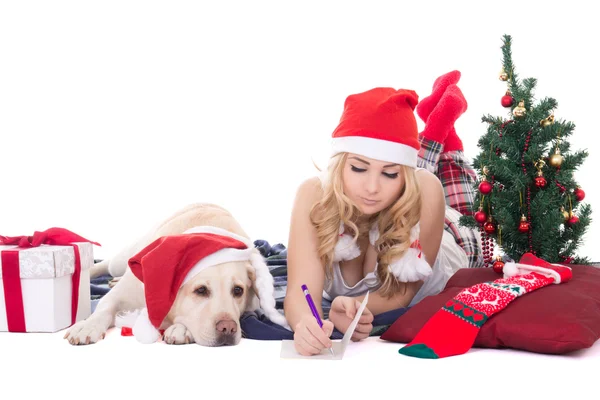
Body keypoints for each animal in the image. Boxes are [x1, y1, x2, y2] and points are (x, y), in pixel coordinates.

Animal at [63, 203, 288, 346]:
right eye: (201, 290)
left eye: (238, 291)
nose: (228, 329)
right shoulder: (122, 294)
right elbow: (103, 308)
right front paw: (87, 326)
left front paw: (181, 329)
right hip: (124, 258)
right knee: (106, 264)